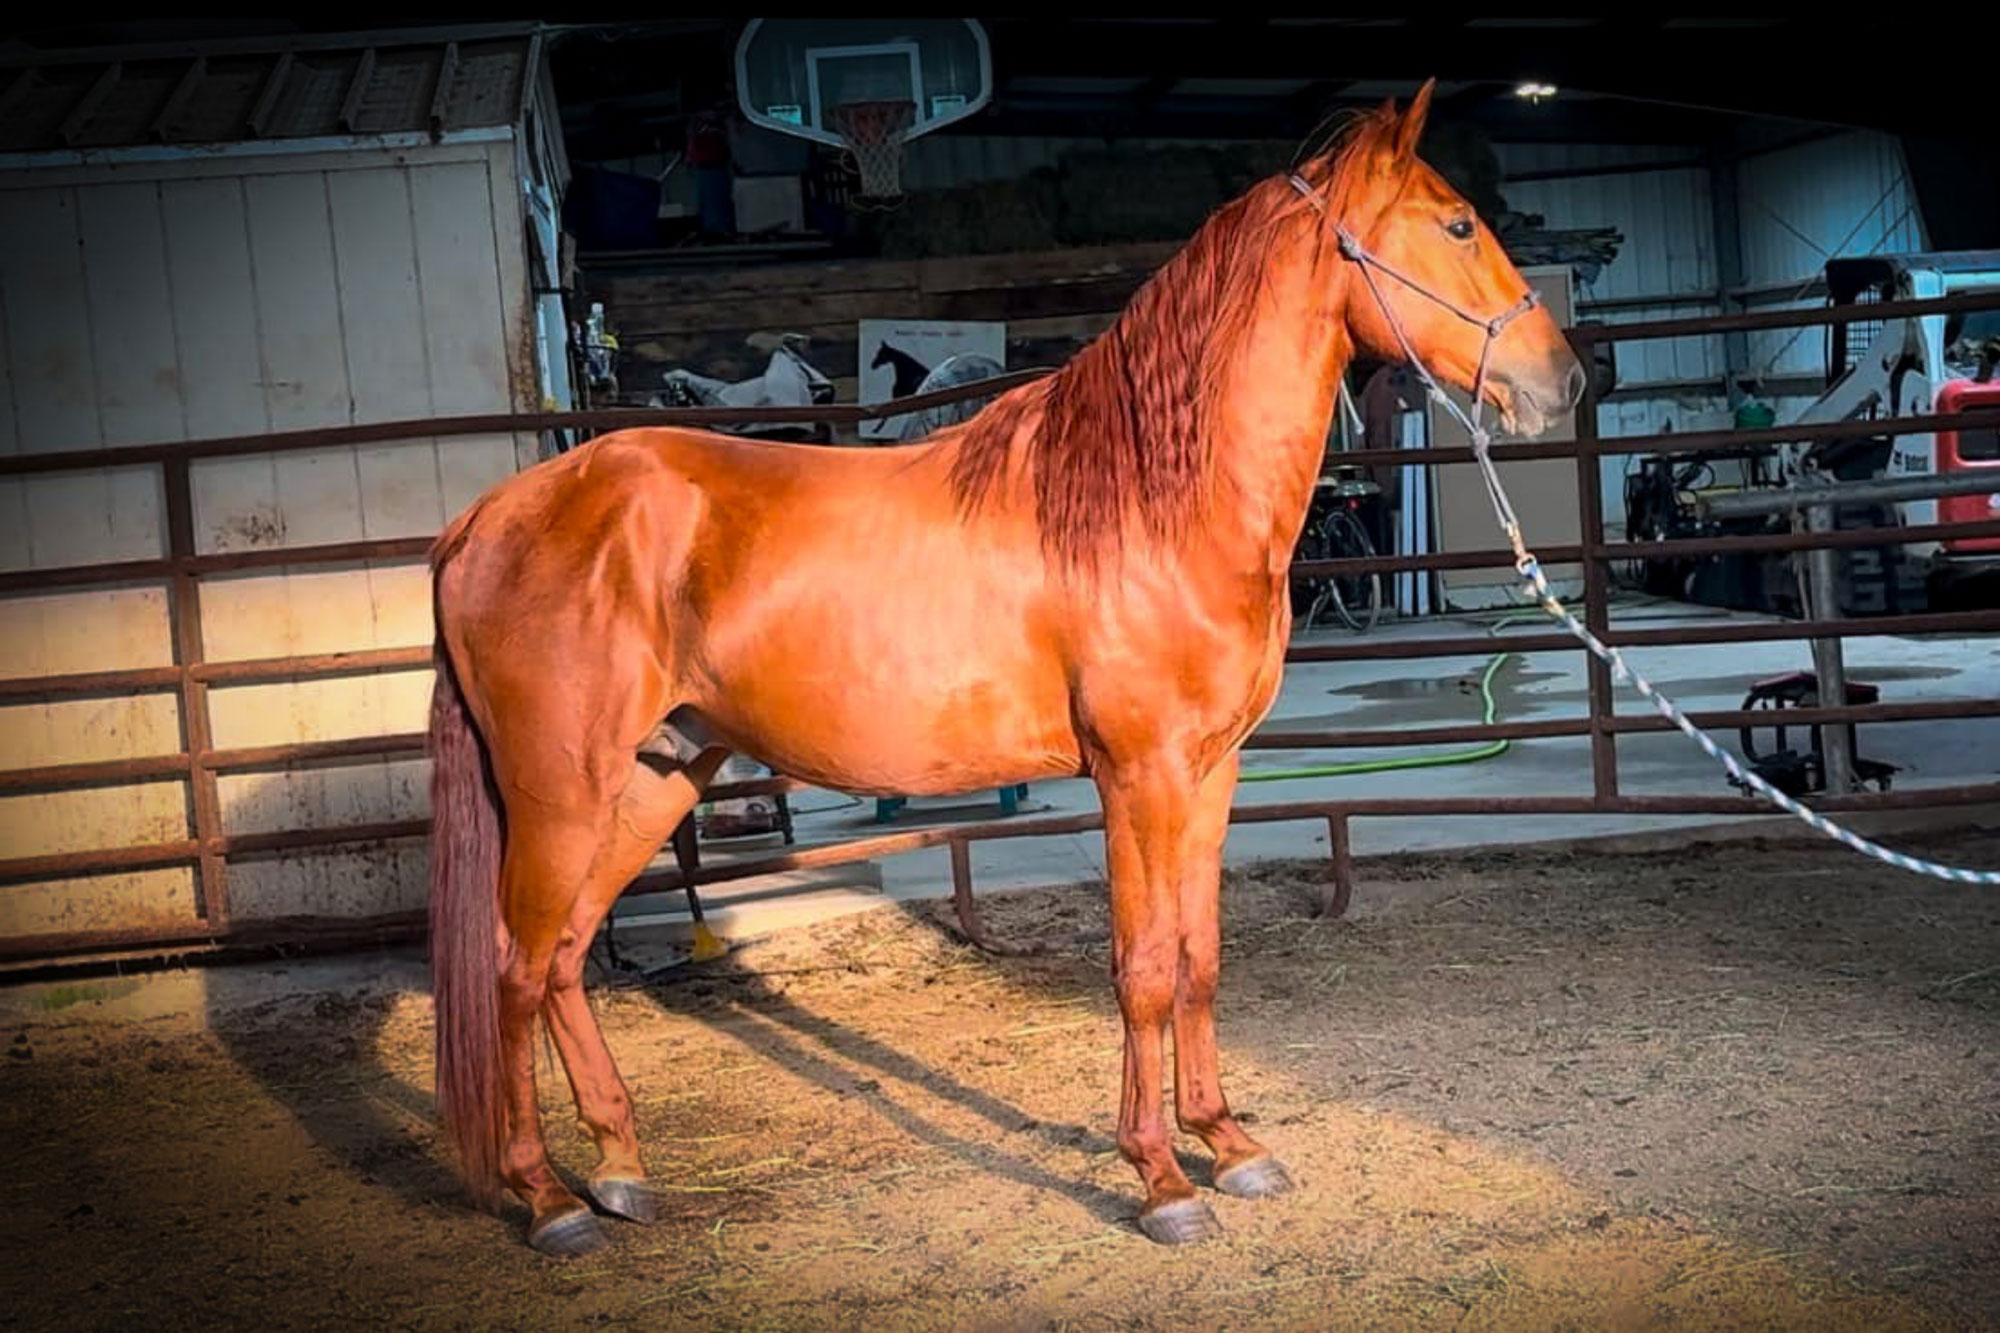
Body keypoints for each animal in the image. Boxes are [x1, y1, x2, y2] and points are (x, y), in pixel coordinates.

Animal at [425, 80, 1584, 1257]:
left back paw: (620, 1169)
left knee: (564, 955)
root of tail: (484, 519)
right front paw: (1160, 1177)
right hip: (560, 794)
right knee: (512, 966)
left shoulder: (1209, 774)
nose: (1566, 381)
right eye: (1456, 225)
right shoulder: (1136, 778)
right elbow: (1143, 968)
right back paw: (549, 1198)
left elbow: (1201, 955)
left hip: (656, 778)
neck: (1150, 499)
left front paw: (1229, 1144)